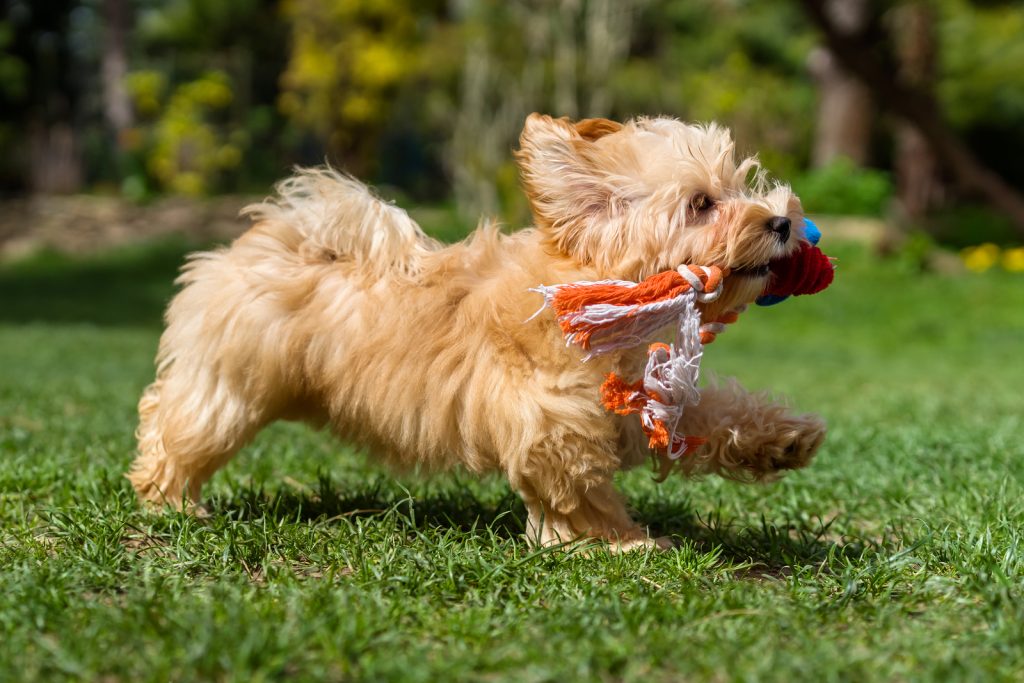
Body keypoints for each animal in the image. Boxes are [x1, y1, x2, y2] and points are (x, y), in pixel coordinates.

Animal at [132, 112, 827, 548]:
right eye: (702, 204)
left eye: (741, 185)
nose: (782, 222)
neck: (592, 286)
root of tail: (269, 238)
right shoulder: (551, 418)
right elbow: (577, 485)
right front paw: (620, 542)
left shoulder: (638, 400)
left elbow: (708, 413)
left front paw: (783, 438)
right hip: (232, 385)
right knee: (177, 421)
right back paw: (169, 499)